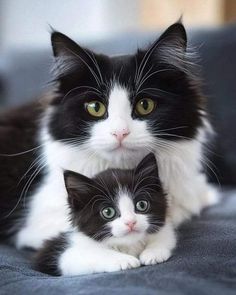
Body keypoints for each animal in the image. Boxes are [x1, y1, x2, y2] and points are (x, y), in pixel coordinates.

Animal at [35, 154, 175, 276]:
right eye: (108, 212)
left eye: (142, 205)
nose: (131, 222)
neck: (127, 245)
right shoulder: (61, 254)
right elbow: (91, 254)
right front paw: (125, 260)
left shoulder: (164, 229)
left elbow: (165, 236)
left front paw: (153, 253)